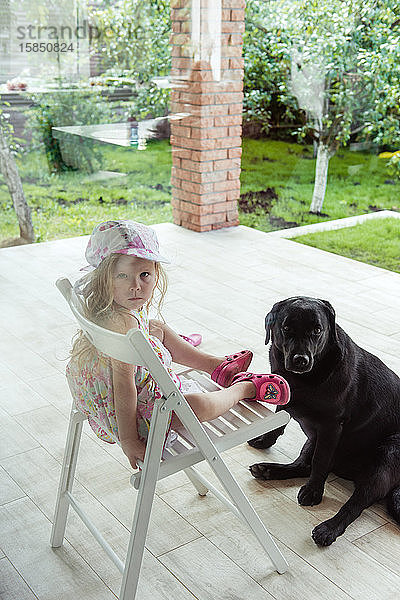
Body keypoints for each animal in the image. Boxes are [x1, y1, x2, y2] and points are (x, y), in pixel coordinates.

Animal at [250, 298, 400, 548]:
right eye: (286, 328)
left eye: (317, 330)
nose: (301, 360)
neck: (305, 379)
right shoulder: (286, 397)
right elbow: (278, 422)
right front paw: (264, 438)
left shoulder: (330, 427)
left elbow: (321, 462)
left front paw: (313, 492)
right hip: (312, 440)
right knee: (303, 465)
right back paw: (269, 470)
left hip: (386, 457)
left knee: (357, 503)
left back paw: (328, 528)